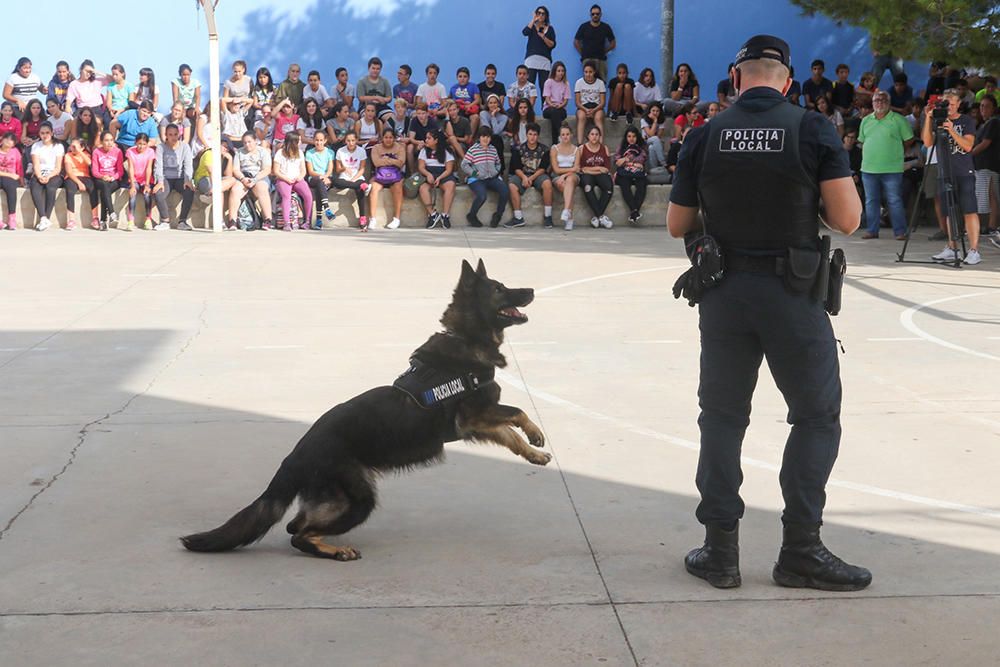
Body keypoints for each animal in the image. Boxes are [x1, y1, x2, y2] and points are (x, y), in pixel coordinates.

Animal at [180, 258, 548, 560]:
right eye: (499, 289)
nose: (531, 290)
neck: (465, 338)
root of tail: (295, 454)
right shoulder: (475, 415)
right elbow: (517, 412)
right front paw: (537, 434)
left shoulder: (478, 423)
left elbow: (510, 434)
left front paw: (534, 453)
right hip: (359, 499)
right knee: (298, 534)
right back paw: (335, 551)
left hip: (337, 498)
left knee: (295, 526)